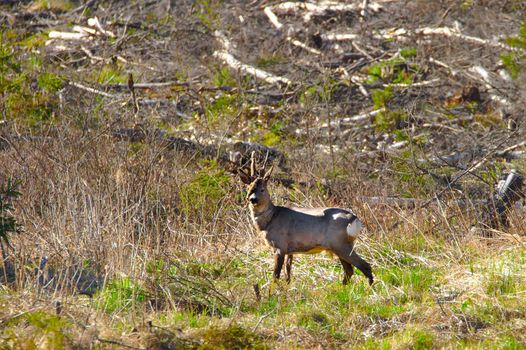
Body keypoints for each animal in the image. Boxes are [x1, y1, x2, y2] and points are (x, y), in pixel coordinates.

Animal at [239, 154, 376, 286]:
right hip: (339, 246)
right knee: (349, 270)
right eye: (249, 188)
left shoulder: (280, 245)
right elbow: (288, 274)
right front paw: (287, 288)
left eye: (262, 189)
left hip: (340, 243)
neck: (270, 219)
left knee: (365, 266)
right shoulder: (289, 250)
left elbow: (275, 276)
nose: (252, 199)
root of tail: (355, 219)